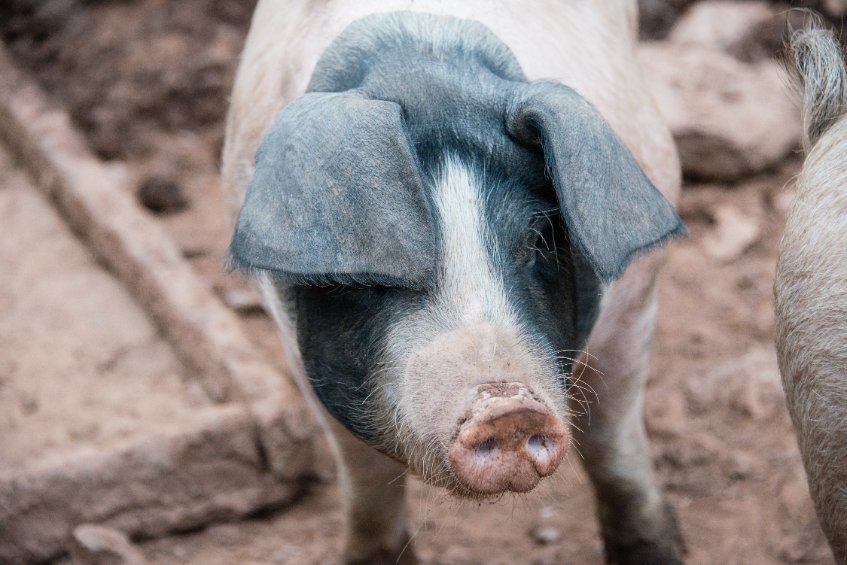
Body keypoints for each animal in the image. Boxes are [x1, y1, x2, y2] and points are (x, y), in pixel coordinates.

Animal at [222, 2, 686, 563]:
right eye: (390, 258)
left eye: (536, 239)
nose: (507, 408)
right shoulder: (294, 343)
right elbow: (365, 482)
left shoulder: (638, 292)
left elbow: (613, 444)